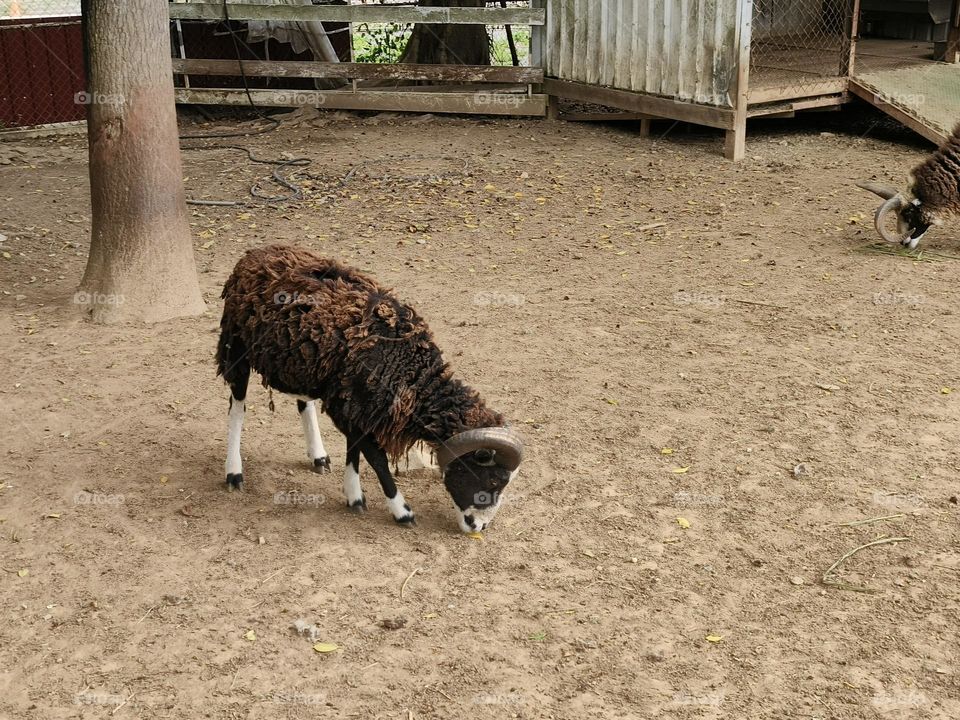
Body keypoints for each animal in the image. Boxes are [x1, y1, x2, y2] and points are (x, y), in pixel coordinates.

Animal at [215, 244, 523, 533]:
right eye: (494, 478)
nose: (479, 527)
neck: (408, 367)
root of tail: (255, 253)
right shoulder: (351, 405)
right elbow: (375, 457)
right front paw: (402, 511)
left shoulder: (353, 402)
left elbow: (355, 445)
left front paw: (354, 497)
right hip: (236, 348)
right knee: (237, 407)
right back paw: (234, 473)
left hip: (301, 364)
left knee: (304, 402)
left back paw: (318, 456)